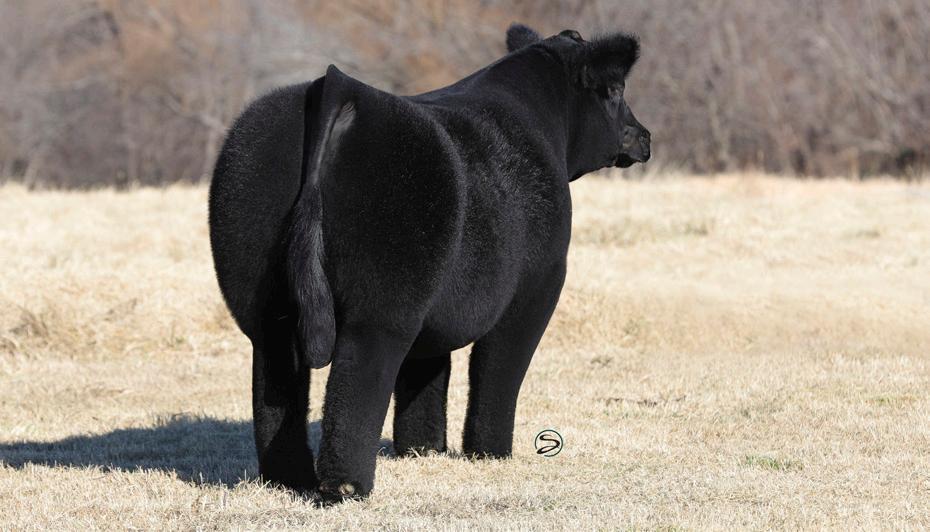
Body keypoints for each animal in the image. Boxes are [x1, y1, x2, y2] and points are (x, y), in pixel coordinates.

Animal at [208, 23, 650, 502]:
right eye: (615, 89)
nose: (643, 135)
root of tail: (340, 87)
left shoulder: (437, 307)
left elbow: (427, 372)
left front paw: (422, 450)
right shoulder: (538, 285)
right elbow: (498, 369)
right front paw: (490, 453)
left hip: (262, 295)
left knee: (276, 377)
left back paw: (288, 480)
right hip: (383, 303)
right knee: (361, 372)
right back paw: (346, 486)